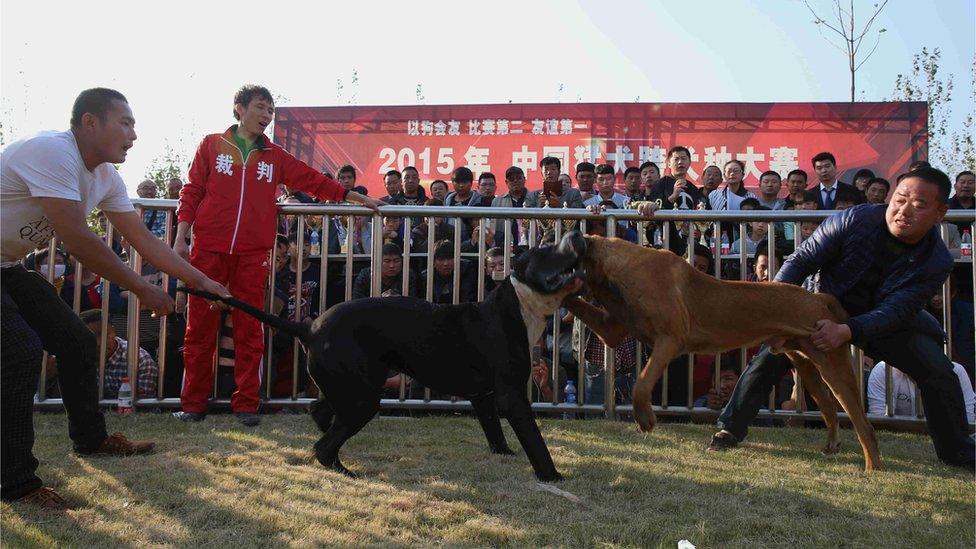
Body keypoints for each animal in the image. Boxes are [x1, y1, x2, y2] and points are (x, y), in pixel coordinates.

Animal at [178, 231, 584, 480]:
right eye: (547, 250)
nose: (578, 234)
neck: (520, 303)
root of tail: (310, 327)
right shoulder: (512, 396)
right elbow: (535, 440)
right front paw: (552, 476)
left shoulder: (483, 396)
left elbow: (494, 431)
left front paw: (504, 455)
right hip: (363, 397)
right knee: (323, 445)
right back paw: (342, 468)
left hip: (346, 385)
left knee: (321, 412)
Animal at [556, 232, 884, 470]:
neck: (614, 269)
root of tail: (819, 298)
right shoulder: (612, 330)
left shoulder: (670, 339)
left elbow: (641, 383)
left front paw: (645, 418)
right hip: (804, 360)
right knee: (828, 406)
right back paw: (831, 446)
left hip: (833, 363)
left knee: (862, 422)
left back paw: (872, 467)